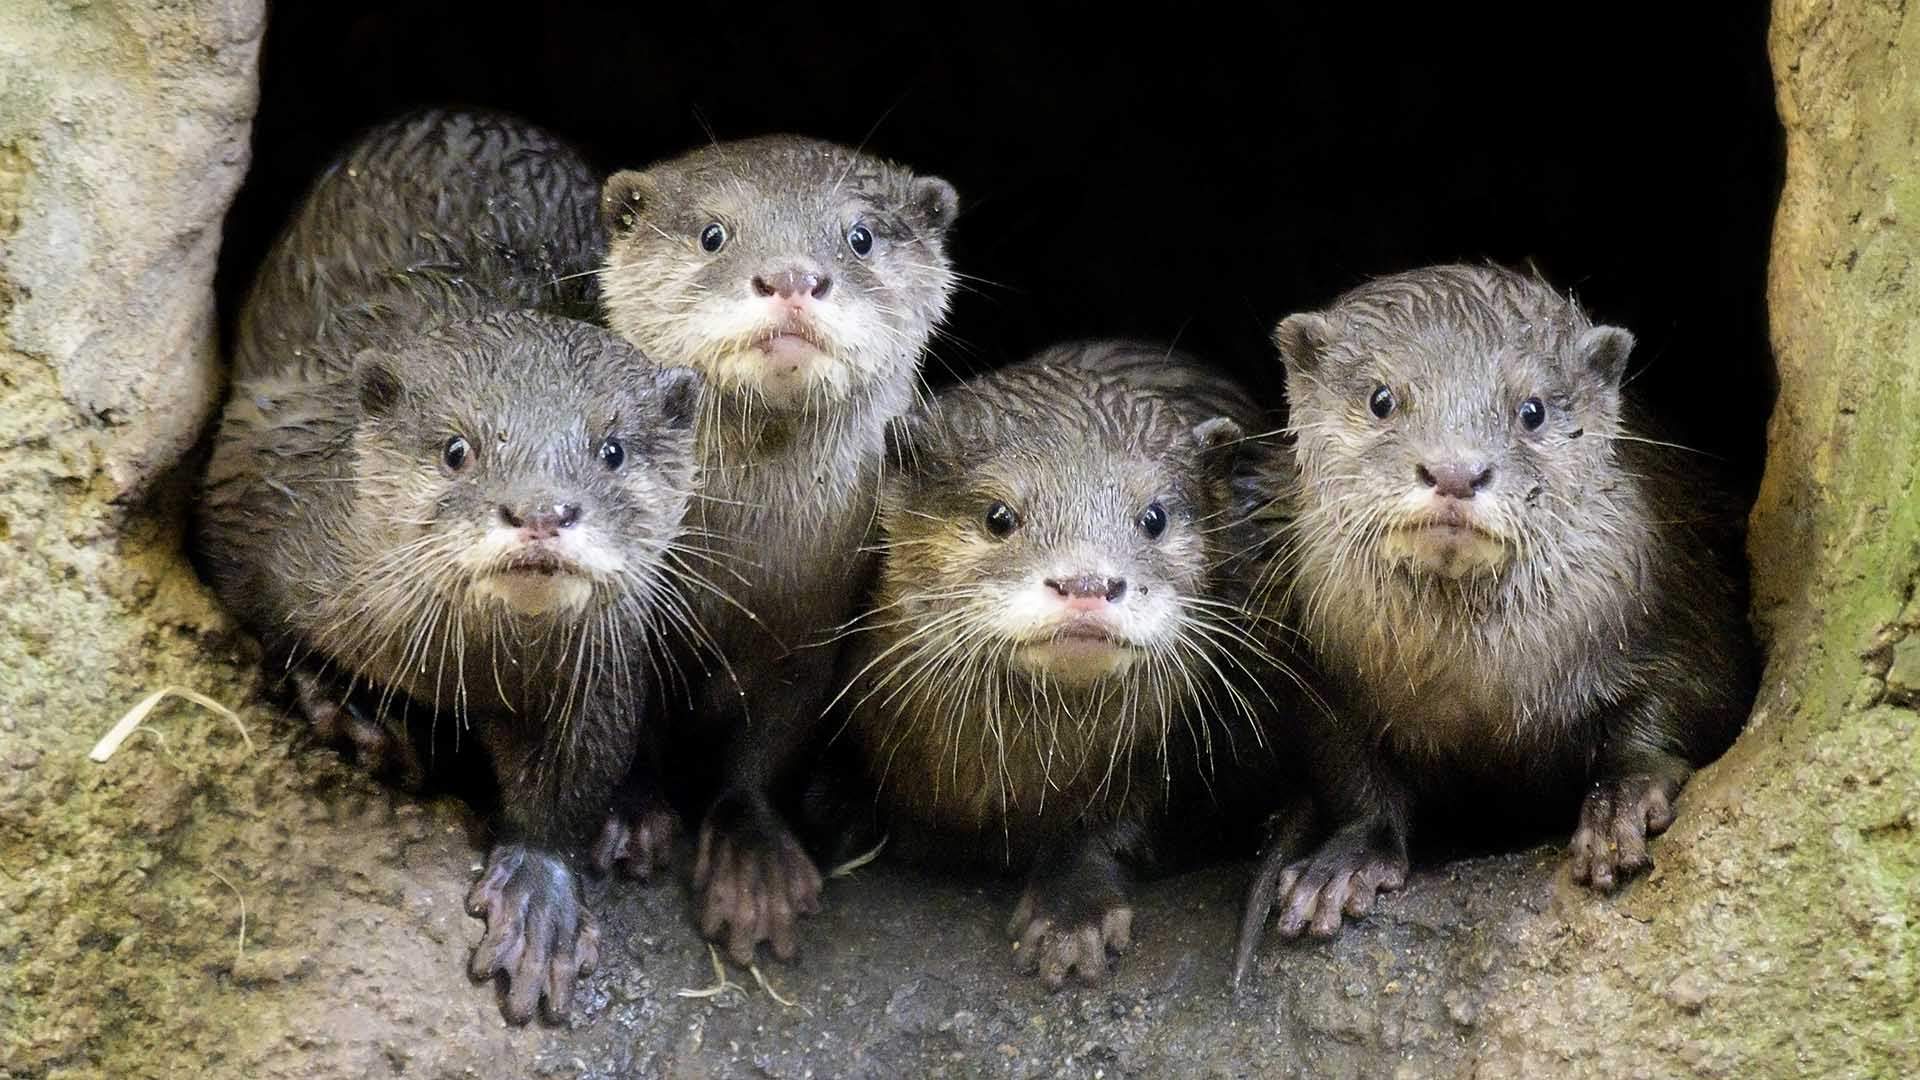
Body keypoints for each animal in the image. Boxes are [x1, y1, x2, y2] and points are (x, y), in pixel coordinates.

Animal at [198, 107, 706, 1014]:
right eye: (457, 449)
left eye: (612, 450)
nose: (541, 511)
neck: (463, 670)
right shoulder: (251, 480)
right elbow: (259, 614)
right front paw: (353, 709)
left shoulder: (600, 668)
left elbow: (574, 778)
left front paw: (541, 897)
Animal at [591, 132, 960, 957]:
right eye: (713, 234)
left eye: (860, 236)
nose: (791, 276)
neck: (738, 578)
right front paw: (627, 813)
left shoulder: (811, 637)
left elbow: (767, 749)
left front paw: (753, 864)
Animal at [1228, 265, 1758, 953]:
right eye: (1381, 399)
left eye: (1531, 410)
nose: (1455, 471)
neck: (1475, 691)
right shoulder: (1320, 676)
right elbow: (1352, 771)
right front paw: (1346, 862)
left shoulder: (1681, 614)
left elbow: (1672, 708)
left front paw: (1619, 805)